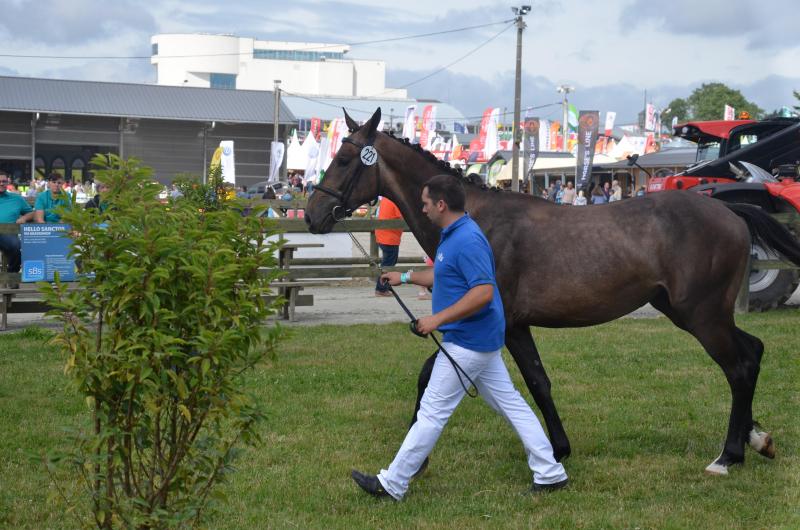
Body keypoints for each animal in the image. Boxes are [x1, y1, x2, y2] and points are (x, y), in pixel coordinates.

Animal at [302, 108, 800, 474]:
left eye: (344, 159)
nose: (313, 214)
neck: (478, 220)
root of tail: (731, 212)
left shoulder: (494, 322)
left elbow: (438, 375)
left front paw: (417, 459)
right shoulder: (512, 326)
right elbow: (538, 382)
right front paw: (559, 447)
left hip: (702, 315)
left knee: (739, 366)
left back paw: (728, 456)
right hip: (696, 312)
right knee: (752, 352)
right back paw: (756, 439)